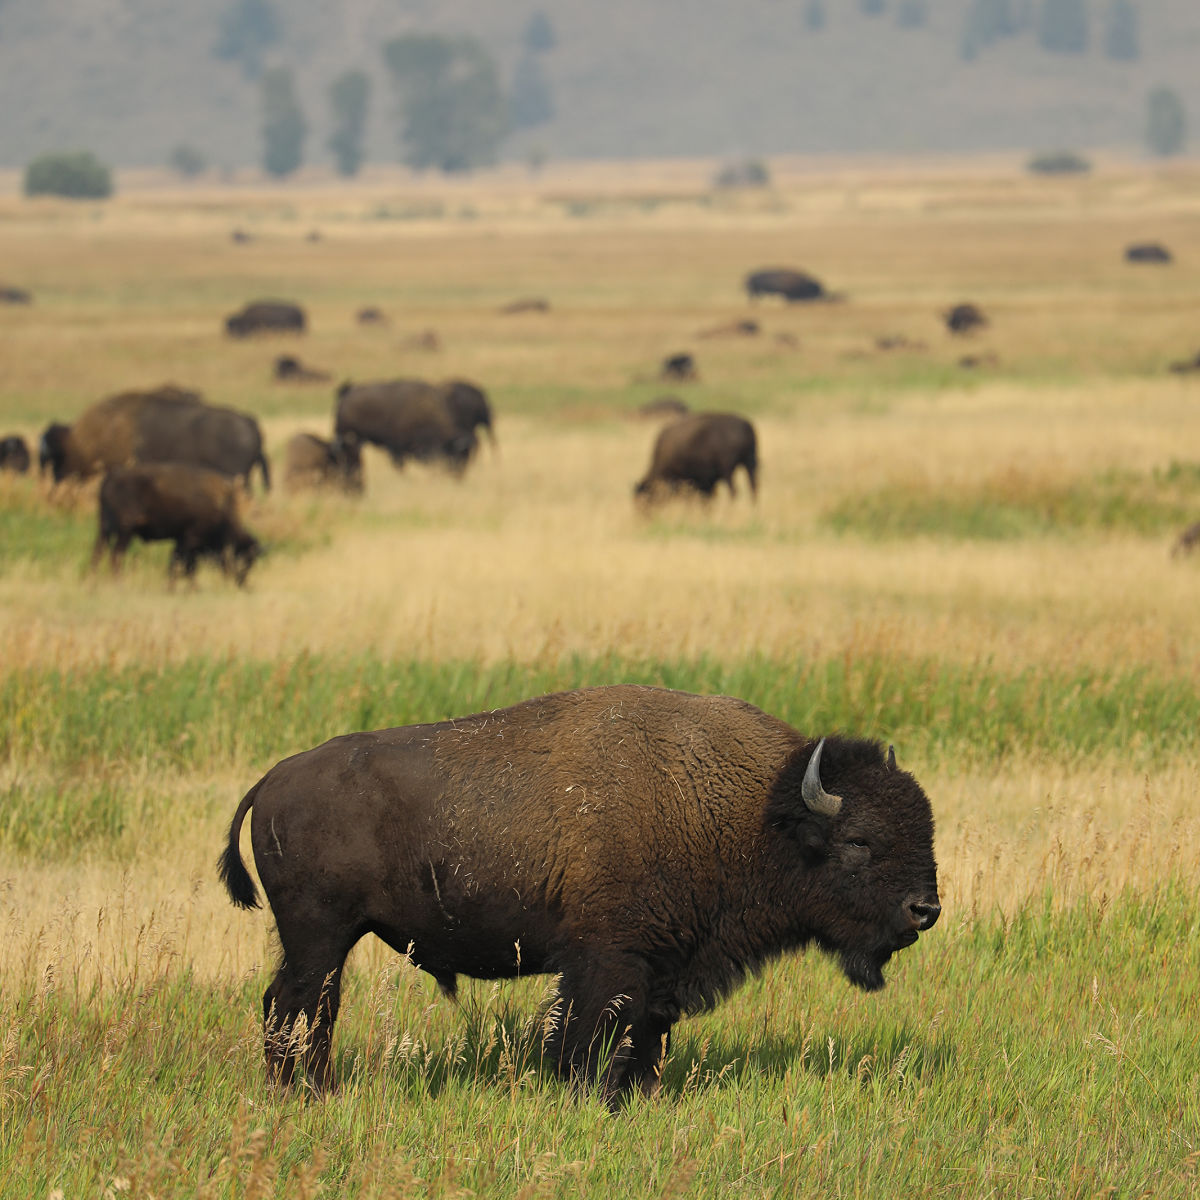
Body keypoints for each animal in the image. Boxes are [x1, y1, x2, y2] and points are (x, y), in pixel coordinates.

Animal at [93, 462, 261, 586]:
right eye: (245, 559)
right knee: (116, 555)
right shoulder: (190, 539)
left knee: (98, 553)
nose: (242, 583)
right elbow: (183, 564)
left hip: (105, 529)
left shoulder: (184, 540)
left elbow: (183, 564)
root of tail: (110, 478)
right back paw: (117, 582)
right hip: (125, 531)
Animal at [219, 684, 939, 1104]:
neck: (756, 813)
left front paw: (640, 1097)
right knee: (297, 1005)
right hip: (320, 936)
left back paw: (309, 1092)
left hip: (326, 941)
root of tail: (272, 780)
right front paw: (587, 1097)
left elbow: (647, 1036)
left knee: (302, 1006)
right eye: (860, 842)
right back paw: (304, 1095)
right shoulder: (607, 960)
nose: (925, 910)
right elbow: (587, 1033)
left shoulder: (663, 967)